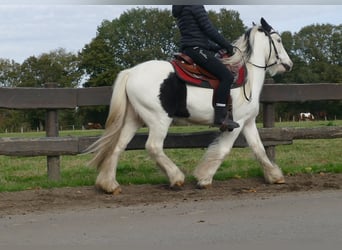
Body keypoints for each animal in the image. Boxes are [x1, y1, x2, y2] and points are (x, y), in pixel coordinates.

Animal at [87, 18, 292, 193]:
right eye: (278, 40)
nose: (289, 64)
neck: (247, 78)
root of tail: (131, 72)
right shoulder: (237, 123)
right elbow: (224, 150)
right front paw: (204, 178)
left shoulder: (248, 122)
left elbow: (259, 148)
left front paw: (275, 176)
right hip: (159, 119)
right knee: (153, 146)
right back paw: (176, 178)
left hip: (134, 118)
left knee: (118, 146)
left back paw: (109, 185)